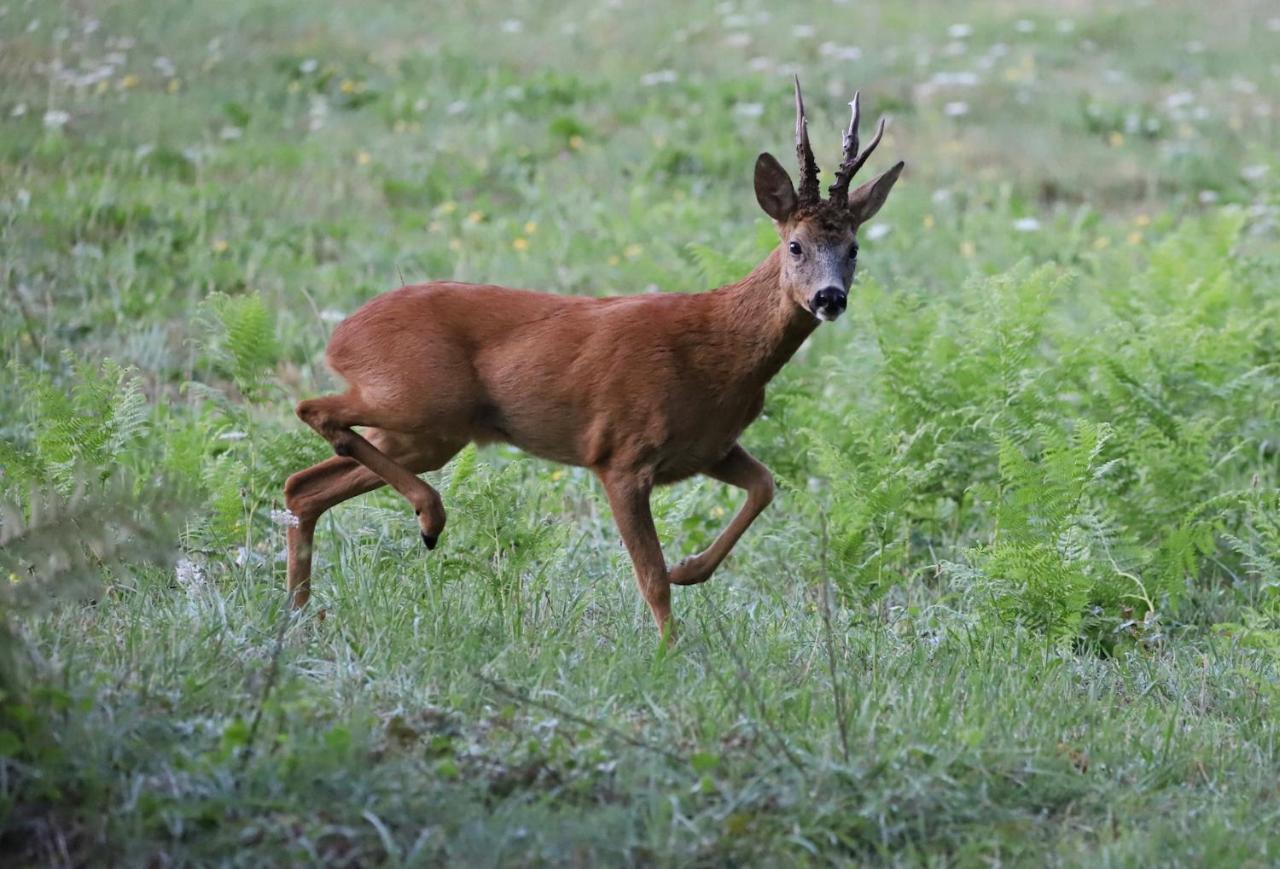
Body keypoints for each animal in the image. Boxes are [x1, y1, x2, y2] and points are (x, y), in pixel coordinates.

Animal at [285, 79, 906, 639]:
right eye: (795, 245)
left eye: (854, 249)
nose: (829, 298)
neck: (721, 352)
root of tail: (342, 335)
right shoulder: (621, 454)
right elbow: (649, 577)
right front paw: (670, 653)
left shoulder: (709, 446)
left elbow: (765, 486)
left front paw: (691, 570)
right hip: (421, 397)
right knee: (313, 409)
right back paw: (428, 519)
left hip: (429, 433)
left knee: (303, 484)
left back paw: (300, 613)